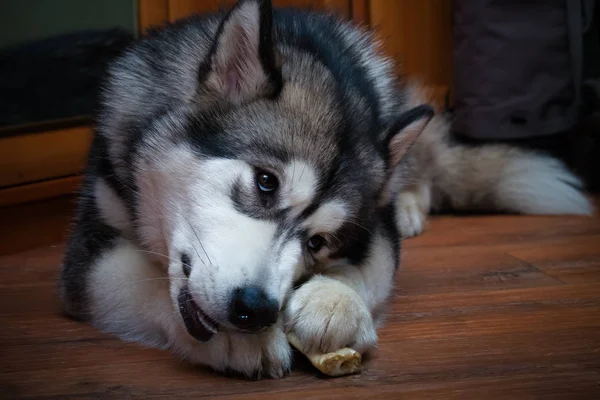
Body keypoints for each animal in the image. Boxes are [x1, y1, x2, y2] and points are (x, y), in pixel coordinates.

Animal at [58, 0, 592, 378]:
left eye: (317, 242)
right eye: (266, 183)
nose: (255, 310)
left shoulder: (376, 230)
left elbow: (369, 266)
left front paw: (333, 301)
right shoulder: (87, 255)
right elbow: (142, 281)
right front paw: (241, 341)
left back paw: (412, 207)